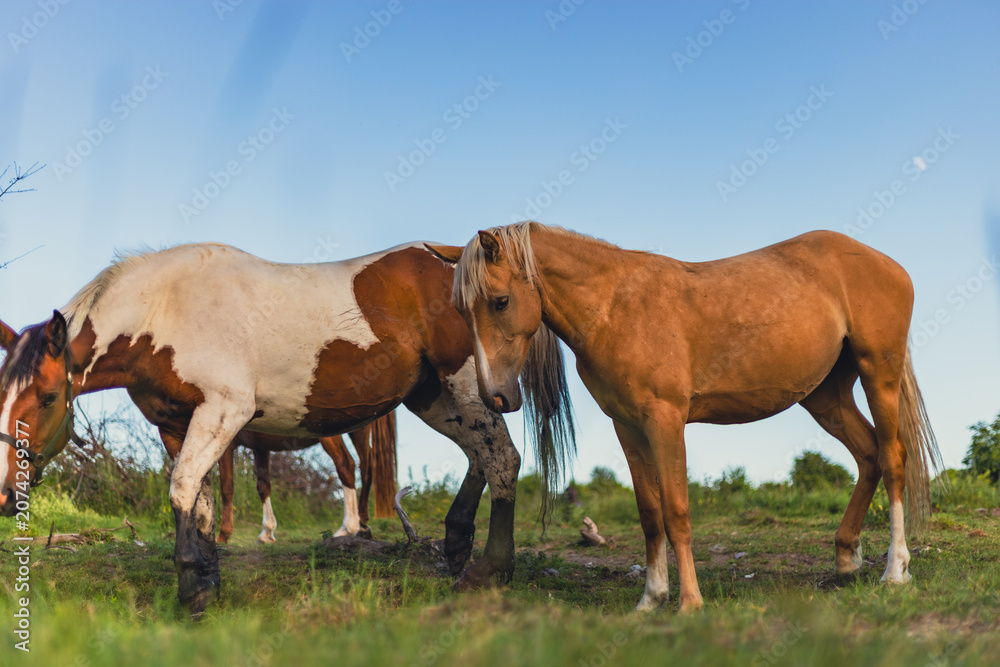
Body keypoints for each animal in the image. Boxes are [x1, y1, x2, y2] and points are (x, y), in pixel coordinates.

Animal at [217, 411, 396, 544]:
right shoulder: (260, 446)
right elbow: (263, 486)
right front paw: (267, 533)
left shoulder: (228, 444)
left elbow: (226, 488)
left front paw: (222, 535)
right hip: (359, 431)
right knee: (366, 468)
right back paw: (363, 525)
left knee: (345, 465)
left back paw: (348, 528)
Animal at [428, 221, 942, 613]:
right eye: (460, 310)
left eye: (500, 301)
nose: (495, 397)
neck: (614, 307)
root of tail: (886, 263)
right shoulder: (628, 427)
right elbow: (650, 515)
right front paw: (651, 600)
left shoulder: (665, 422)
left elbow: (677, 512)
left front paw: (689, 603)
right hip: (825, 397)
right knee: (869, 455)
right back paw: (846, 562)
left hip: (879, 375)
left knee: (893, 460)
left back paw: (895, 571)